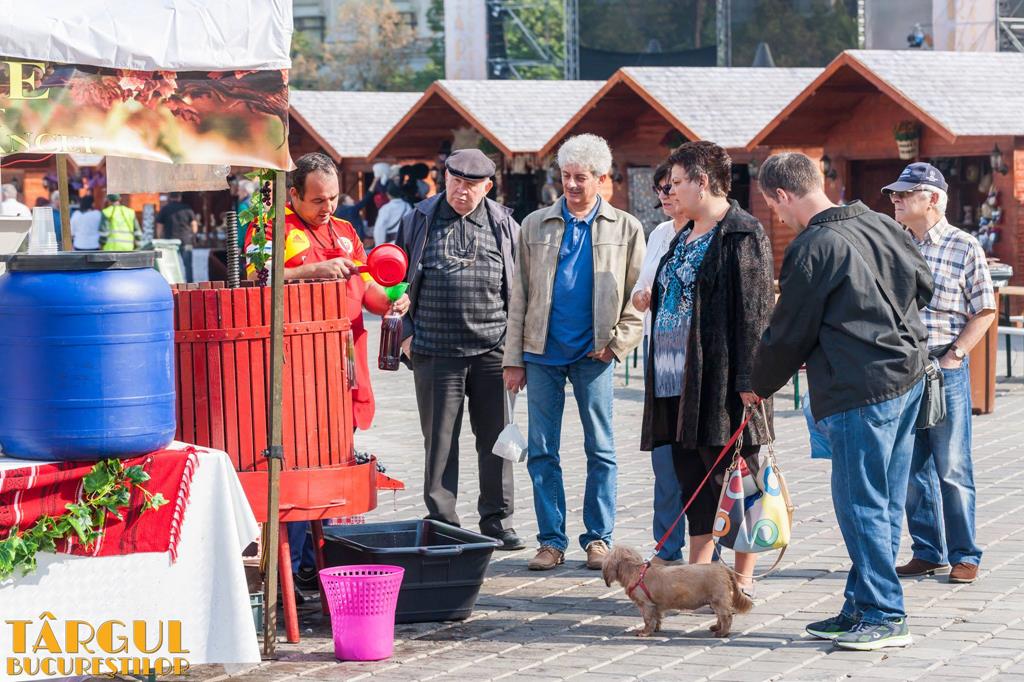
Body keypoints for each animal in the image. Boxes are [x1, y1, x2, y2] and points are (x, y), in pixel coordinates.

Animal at [602, 545, 752, 637]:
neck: (637, 571)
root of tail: (723, 569)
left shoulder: (646, 605)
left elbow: (648, 620)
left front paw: (645, 632)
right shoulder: (655, 606)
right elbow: (657, 618)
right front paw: (656, 629)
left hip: (718, 600)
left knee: (726, 617)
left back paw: (722, 633)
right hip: (717, 602)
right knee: (721, 617)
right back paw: (716, 627)